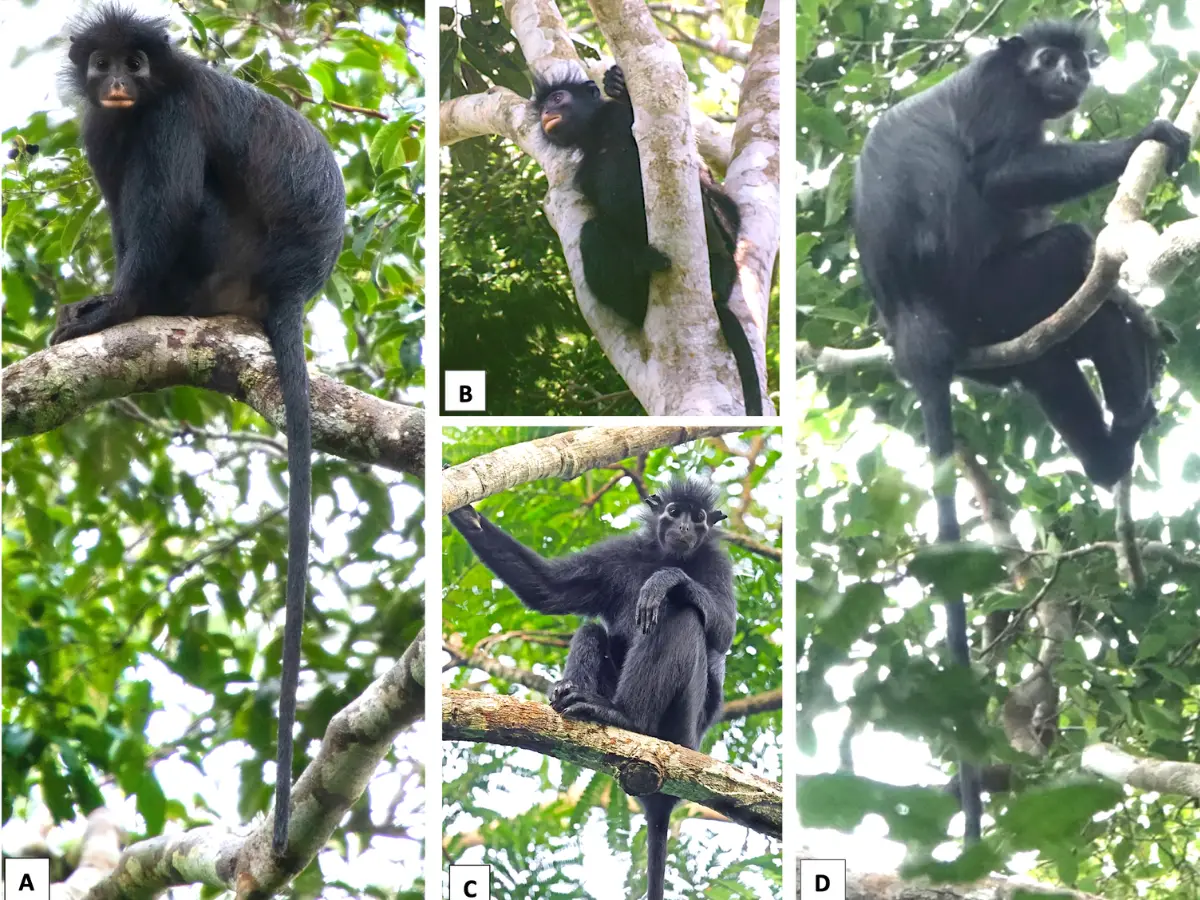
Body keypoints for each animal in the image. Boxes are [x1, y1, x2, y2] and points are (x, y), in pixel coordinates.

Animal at [57, 5, 346, 855]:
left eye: (137, 63)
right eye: (104, 63)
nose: (119, 81)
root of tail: (290, 287)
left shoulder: (172, 114)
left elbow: (168, 200)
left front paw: (115, 308)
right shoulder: (100, 128)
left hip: (222, 258)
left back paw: (142, 306)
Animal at [449, 477, 737, 900]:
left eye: (699, 517)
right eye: (674, 512)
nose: (686, 527)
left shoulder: (717, 563)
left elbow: (723, 628)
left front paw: (666, 580)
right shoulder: (619, 556)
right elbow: (548, 589)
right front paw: (467, 515)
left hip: (684, 724)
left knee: (680, 614)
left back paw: (625, 716)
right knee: (592, 630)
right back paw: (575, 697)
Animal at [533, 65, 763, 416]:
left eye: (558, 98)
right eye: (545, 105)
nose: (547, 111)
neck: (597, 135)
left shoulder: (621, 120)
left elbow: (717, 194)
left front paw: (618, 85)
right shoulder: (582, 174)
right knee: (591, 233)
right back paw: (644, 264)